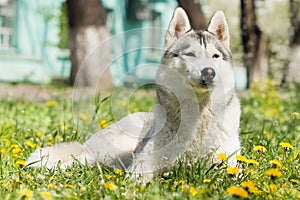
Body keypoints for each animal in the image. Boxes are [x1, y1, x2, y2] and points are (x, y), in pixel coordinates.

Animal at [25, 7, 241, 176]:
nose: (209, 72)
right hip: (109, 151)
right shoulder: (143, 163)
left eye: (215, 56)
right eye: (190, 55)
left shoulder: (229, 165)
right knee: (75, 160)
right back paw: (44, 170)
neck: (198, 114)